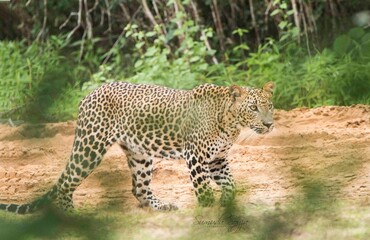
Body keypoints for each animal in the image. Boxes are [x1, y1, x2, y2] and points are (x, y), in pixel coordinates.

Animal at [0, 81, 274, 214]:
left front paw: (228, 206)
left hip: (140, 154)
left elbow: (231, 186)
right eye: (253, 108)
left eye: (269, 106)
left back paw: (162, 206)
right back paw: (71, 215)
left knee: (139, 189)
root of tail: (89, 95)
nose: (270, 124)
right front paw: (209, 212)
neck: (230, 122)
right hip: (90, 146)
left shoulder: (217, 160)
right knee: (67, 181)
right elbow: (204, 190)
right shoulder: (195, 156)